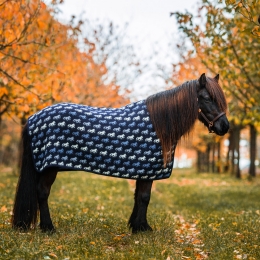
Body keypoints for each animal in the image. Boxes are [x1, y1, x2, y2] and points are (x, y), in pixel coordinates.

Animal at [11, 73, 230, 234]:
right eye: (207, 98)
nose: (225, 126)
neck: (158, 124)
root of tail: (33, 118)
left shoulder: (142, 171)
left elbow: (138, 196)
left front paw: (136, 225)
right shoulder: (148, 171)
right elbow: (145, 197)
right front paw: (143, 229)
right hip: (50, 167)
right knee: (42, 192)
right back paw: (48, 228)